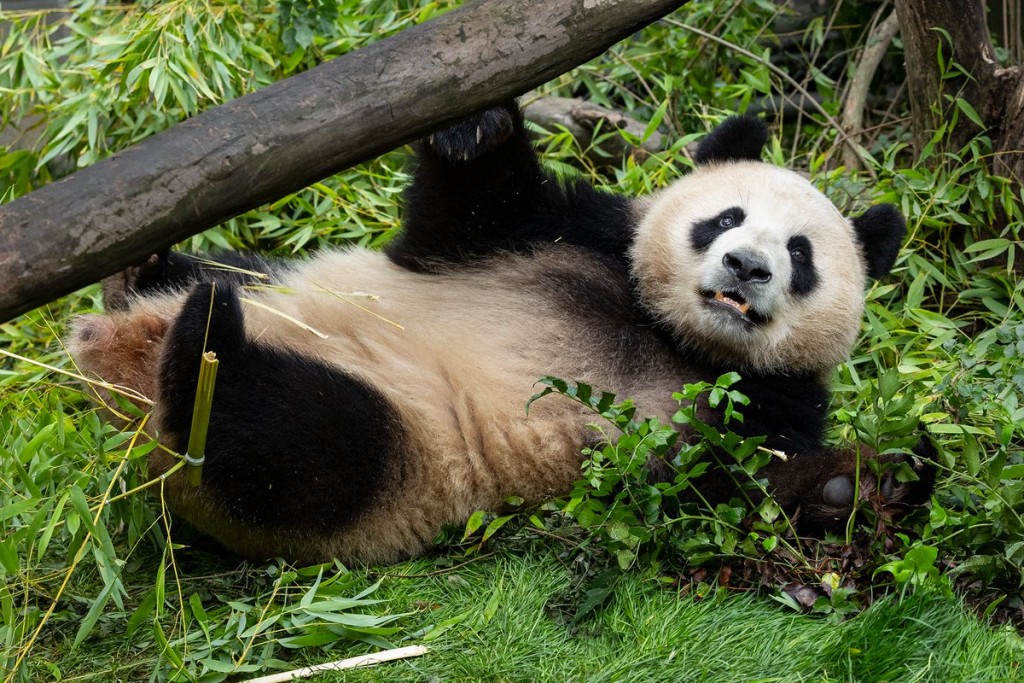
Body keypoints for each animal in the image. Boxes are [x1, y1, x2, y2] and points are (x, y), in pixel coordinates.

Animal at [66, 100, 929, 561]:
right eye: (725, 217)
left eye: (800, 254)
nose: (747, 266)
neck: (672, 334)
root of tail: (119, 370)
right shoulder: (568, 235)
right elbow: (464, 216)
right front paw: (478, 127)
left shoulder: (764, 402)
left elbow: (714, 491)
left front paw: (861, 484)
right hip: (274, 284)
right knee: (225, 280)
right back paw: (144, 276)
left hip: (400, 459)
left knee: (298, 441)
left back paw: (201, 356)